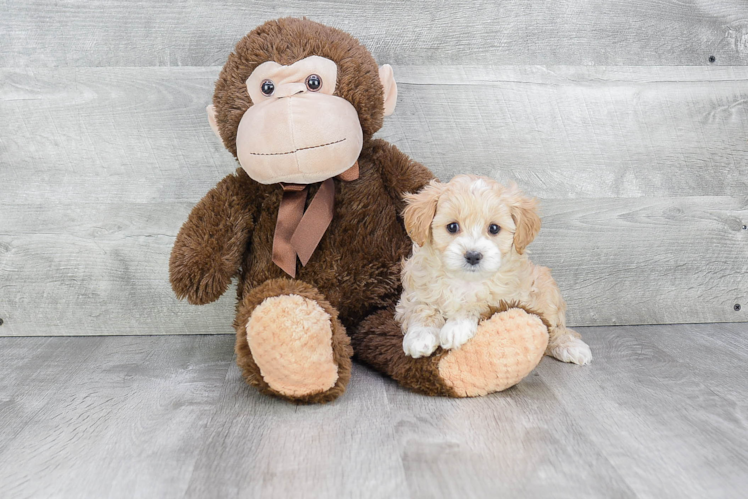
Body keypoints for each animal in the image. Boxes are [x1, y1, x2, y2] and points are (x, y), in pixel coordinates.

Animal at [394, 174, 592, 366]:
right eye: (452, 226)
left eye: (494, 228)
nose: (473, 255)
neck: (464, 281)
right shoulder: (412, 295)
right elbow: (422, 308)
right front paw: (420, 336)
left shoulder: (507, 298)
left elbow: (480, 302)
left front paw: (456, 327)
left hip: (546, 289)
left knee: (555, 328)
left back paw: (571, 347)